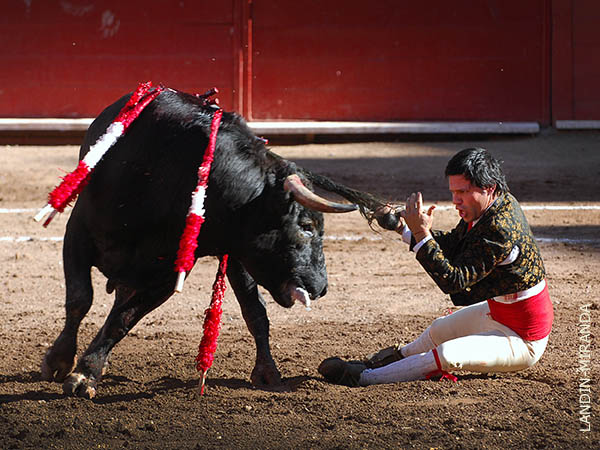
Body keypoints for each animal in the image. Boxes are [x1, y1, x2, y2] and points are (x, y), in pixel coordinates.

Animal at [39, 88, 392, 398]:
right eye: (306, 226)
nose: (321, 287)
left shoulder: (168, 275)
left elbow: (122, 321)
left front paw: (86, 373)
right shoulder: (77, 232)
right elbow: (80, 299)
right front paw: (61, 362)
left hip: (236, 259)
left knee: (255, 311)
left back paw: (267, 372)